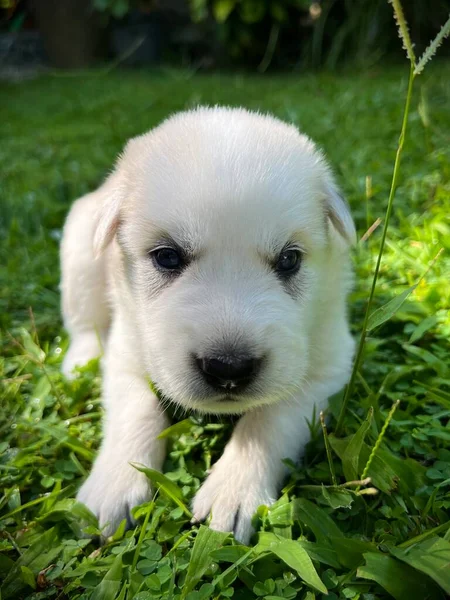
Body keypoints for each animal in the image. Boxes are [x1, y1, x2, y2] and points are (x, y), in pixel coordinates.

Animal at [60, 108, 356, 544]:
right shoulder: (128, 351)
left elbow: (271, 418)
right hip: (80, 249)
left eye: (289, 259)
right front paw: (114, 488)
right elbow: (135, 409)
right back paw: (79, 363)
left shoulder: (328, 362)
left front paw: (234, 491)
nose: (229, 368)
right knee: (83, 320)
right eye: (167, 257)